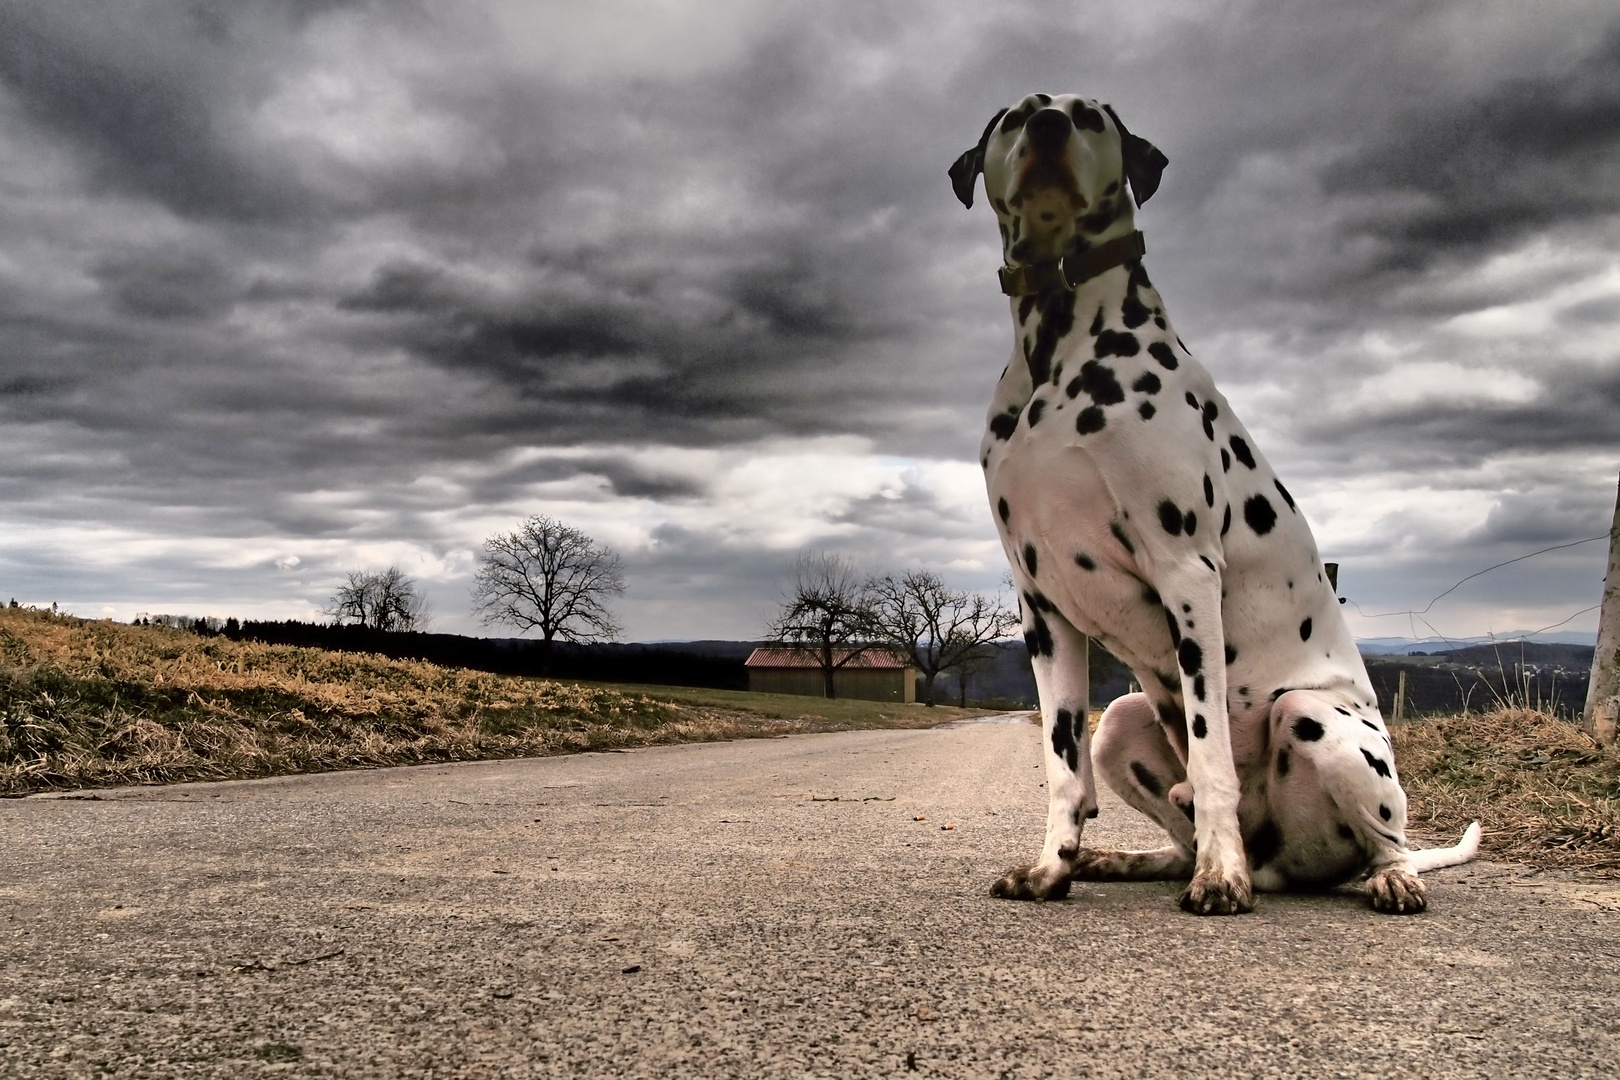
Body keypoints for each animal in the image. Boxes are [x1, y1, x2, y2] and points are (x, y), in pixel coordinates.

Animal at [946, 97, 1483, 919]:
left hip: (1316, 716)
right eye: (1013, 118)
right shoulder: (1043, 607)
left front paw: (1220, 878)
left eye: (1090, 117)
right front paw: (1051, 869)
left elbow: (1211, 759)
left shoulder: (1187, 576)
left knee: (1383, 840)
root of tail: (1281, 864)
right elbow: (1063, 768)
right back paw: (1128, 860)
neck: (1057, 352)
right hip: (1122, 720)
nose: (1048, 128)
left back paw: (1373, 875)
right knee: (1173, 827)